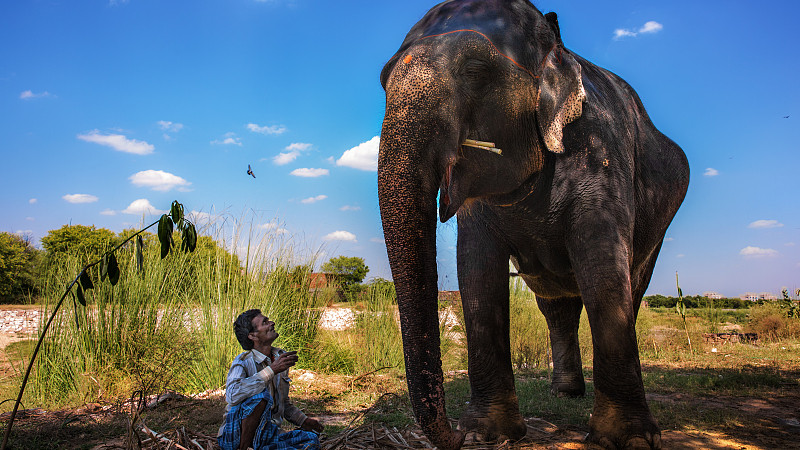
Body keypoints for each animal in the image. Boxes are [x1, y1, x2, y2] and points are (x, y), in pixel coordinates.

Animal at [378, 0, 692, 450]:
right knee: (556, 307)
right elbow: (477, 271)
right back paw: (565, 392)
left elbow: (602, 267)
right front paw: (485, 434)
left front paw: (628, 441)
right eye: (382, 81)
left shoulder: (600, 153)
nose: (454, 435)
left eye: (475, 70)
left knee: (630, 288)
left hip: (659, 225)